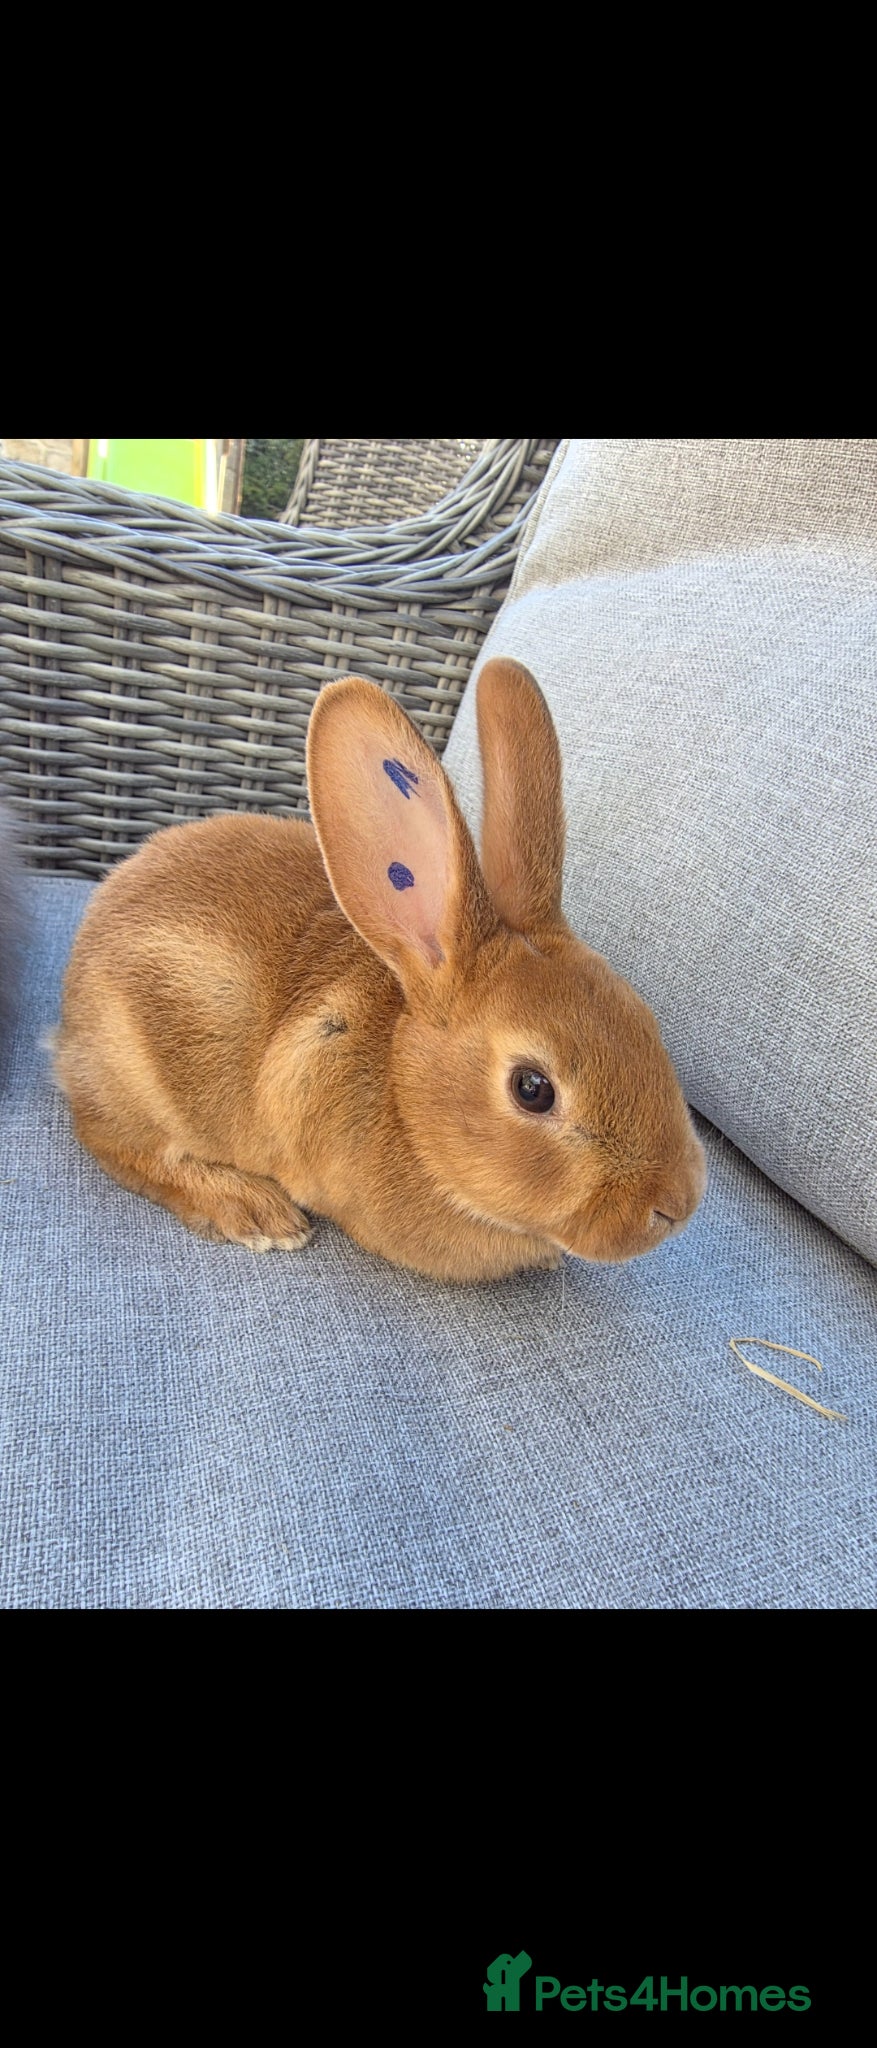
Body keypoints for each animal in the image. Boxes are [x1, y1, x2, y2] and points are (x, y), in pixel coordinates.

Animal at [53, 658, 706, 1282]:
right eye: (532, 1089)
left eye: (644, 1022)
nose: (676, 1207)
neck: (404, 1090)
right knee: (118, 1145)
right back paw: (258, 1213)